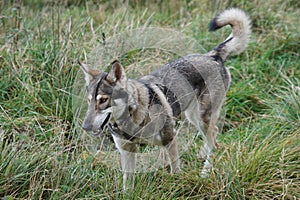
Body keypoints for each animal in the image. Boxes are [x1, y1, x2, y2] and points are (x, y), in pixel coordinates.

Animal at [78, 7, 251, 188]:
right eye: (89, 100)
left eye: (103, 100)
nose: (85, 127)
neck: (134, 117)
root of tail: (212, 55)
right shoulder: (127, 152)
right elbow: (128, 185)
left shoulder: (170, 139)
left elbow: (175, 170)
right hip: (193, 116)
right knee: (213, 137)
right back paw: (202, 154)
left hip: (201, 117)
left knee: (215, 143)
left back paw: (205, 172)